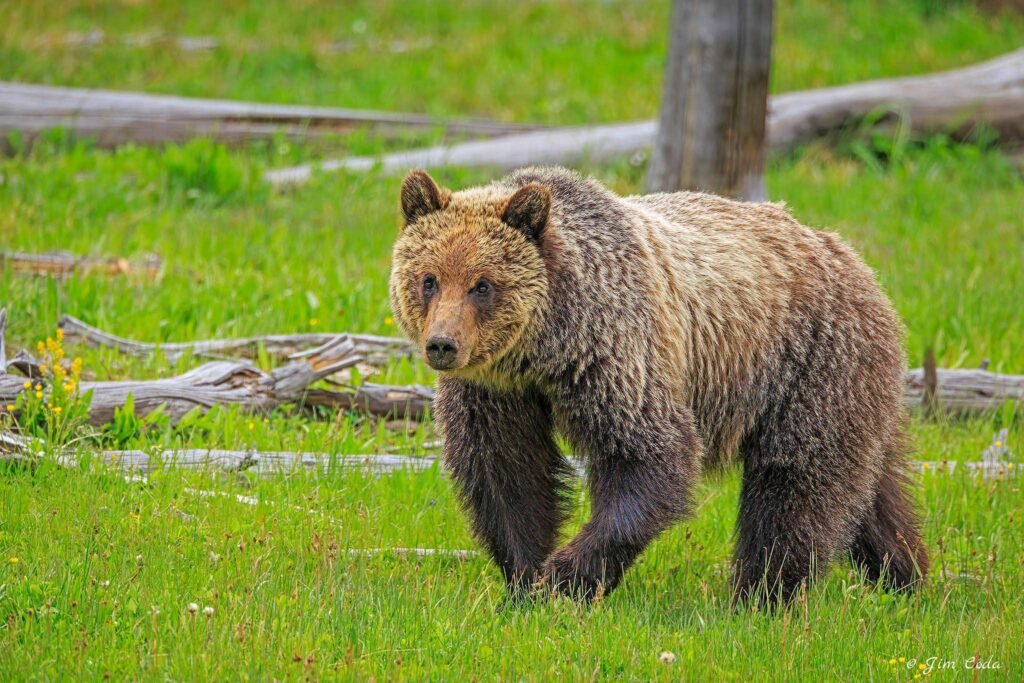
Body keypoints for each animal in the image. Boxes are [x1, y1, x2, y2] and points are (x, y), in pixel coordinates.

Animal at [389, 166, 928, 607]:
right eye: (429, 279)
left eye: (482, 284)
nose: (443, 344)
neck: (545, 349)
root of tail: (855, 261)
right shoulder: (496, 391)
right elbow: (506, 472)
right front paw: (525, 581)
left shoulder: (617, 351)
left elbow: (648, 455)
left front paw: (565, 577)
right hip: (845, 384)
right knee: (873, 490)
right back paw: (905, 576)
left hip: (808, 362)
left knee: (798, 482)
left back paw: (761, 594)